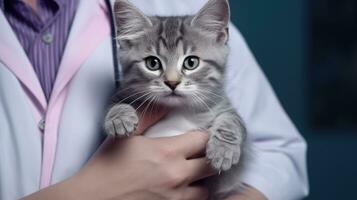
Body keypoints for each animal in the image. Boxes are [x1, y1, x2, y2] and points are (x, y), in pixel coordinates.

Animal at [104, 0, 246, 198]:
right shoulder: (123, 93)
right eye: (152, 63)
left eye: (191, 62)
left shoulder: (221, 105)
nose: (172, 82)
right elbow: (115, 103)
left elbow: (233, 120)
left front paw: (223, 149)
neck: (177, 112)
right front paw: (119, 118)